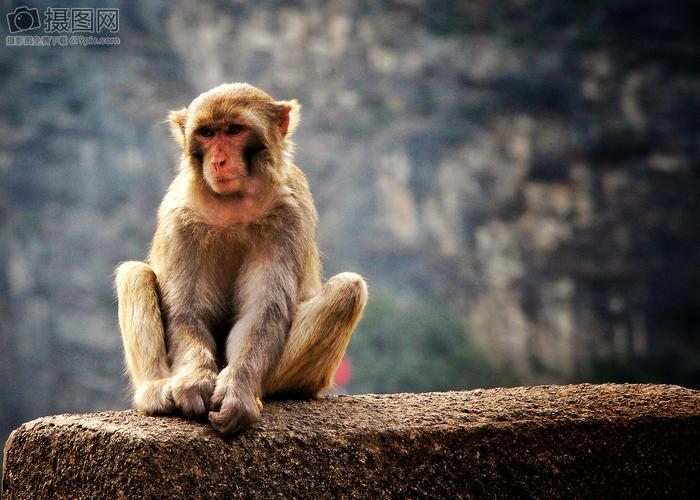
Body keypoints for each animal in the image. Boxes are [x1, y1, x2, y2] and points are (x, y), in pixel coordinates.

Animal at [115, 82, 366, 434]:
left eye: (234, 130)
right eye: (207, 132)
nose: (219, 160)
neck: (233, 201)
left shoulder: (289, 214)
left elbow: (261, 311)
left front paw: (238, 391)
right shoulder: (179, 215)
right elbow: (187, 311)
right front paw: (194, 380)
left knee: (349, 288)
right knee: (134, 274)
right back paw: (155, 392)